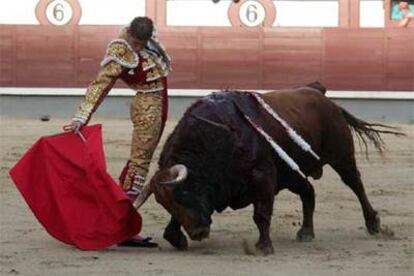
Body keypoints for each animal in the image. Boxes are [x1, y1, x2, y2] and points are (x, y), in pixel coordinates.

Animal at [134, 83, 402, 256]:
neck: (215, 138)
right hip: (292, 174)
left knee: (355, 184)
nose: (199, 232)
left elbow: (261, 214)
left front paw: (264, 247)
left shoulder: (262, 177)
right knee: (309, 192)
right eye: (165, 203)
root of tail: (323, 97)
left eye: (185, 193)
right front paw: (176, 237)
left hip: (341, 157)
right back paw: (306, 232)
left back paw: (373, 224)